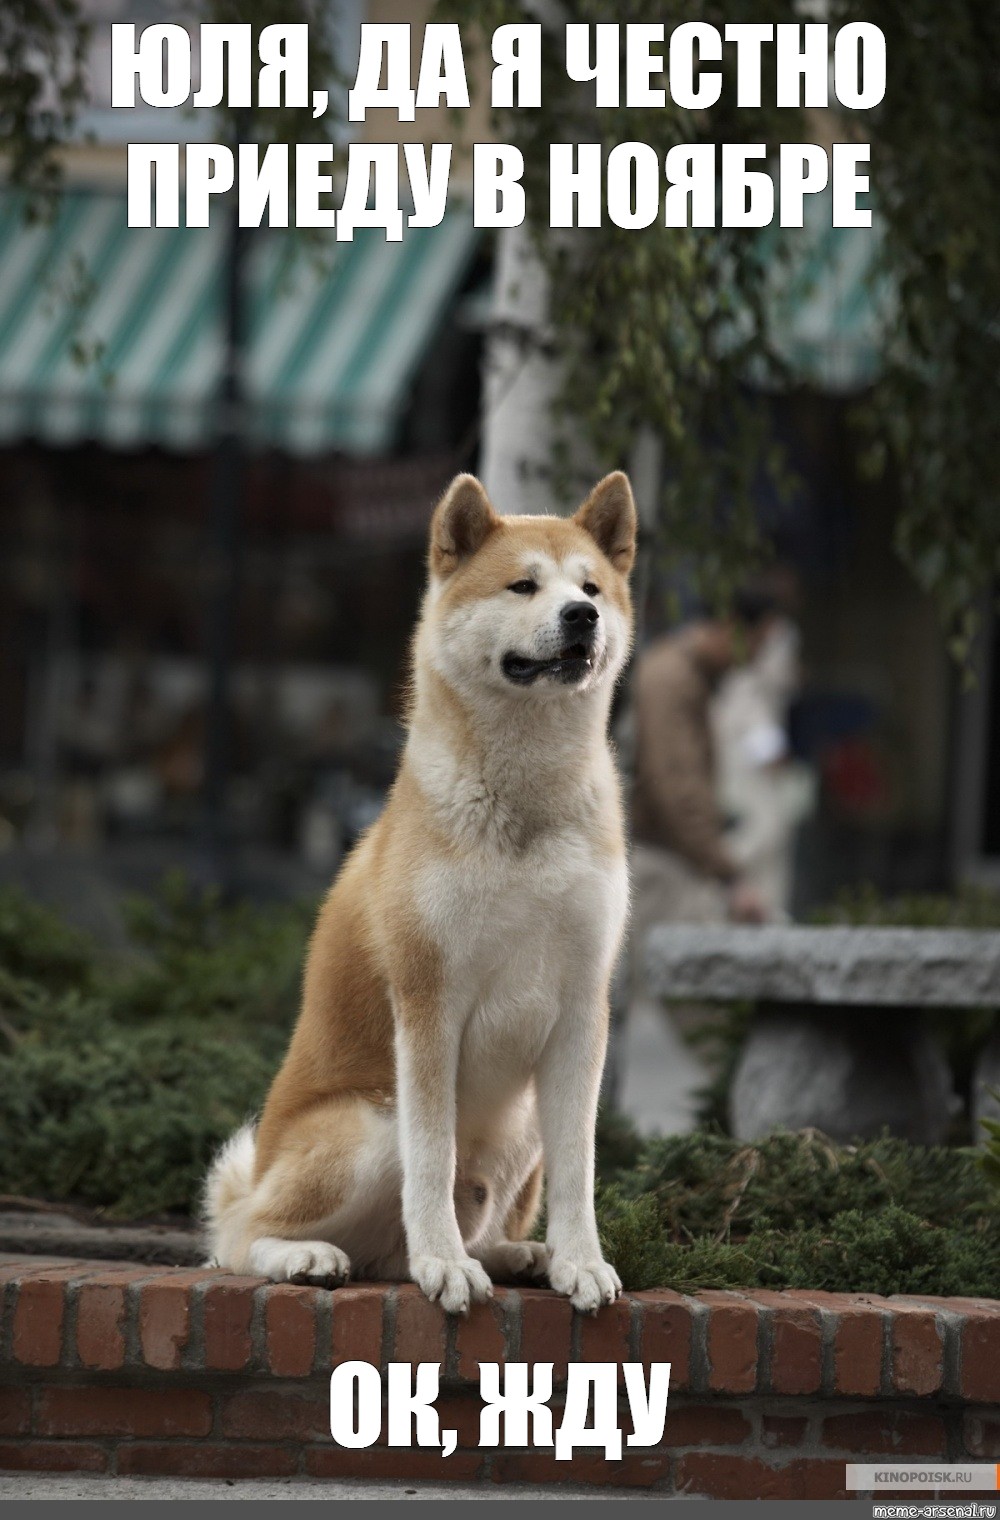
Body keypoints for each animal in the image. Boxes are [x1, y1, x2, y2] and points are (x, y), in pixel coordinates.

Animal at [205, 468, 635, 1313]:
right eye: (523, 585)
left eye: (591, 587)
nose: (582, 616)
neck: (525, 806)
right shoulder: (429, 1000)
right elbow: (432, 1159)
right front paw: (444, 1264)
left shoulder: (582, 1009)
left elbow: (581, 1169)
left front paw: (580, 1261)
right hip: (370, 1125)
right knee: (239, 1237)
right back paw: (314, 1256)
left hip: (521, 1126)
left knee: (450, 1232)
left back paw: (517, 1255)